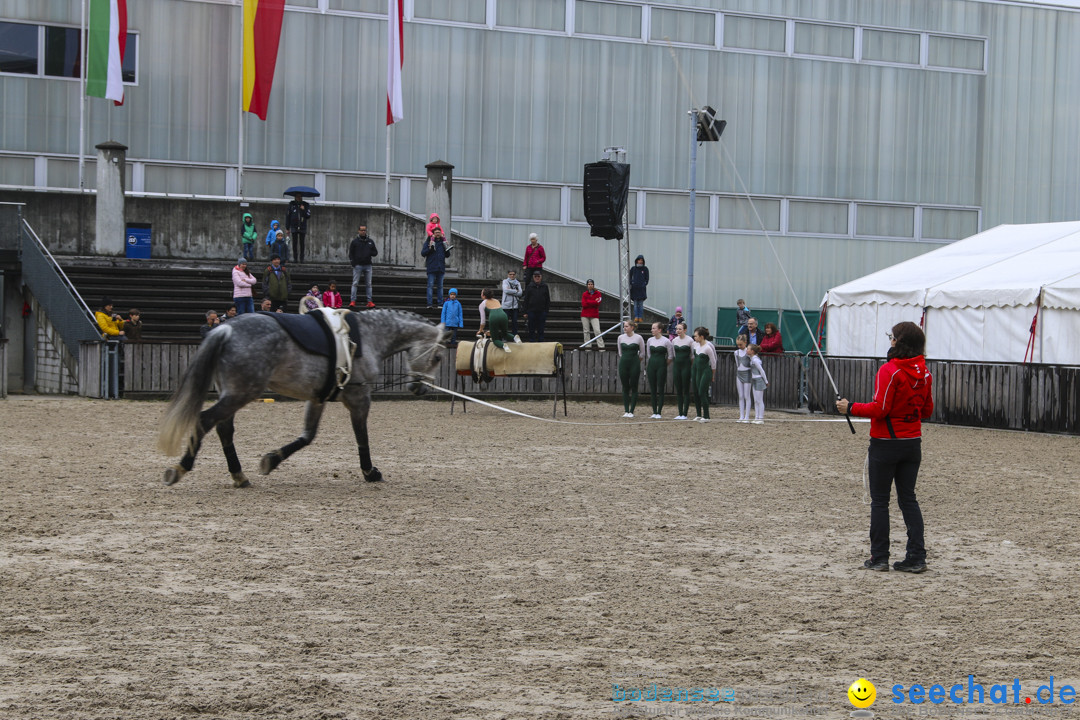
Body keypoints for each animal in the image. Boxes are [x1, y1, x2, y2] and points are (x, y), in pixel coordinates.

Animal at [157, 310, 444, 490]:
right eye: (439, 357)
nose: (420, 388)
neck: (368, 335)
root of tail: (226, 329)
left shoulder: (317, 398)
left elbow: (307, 436)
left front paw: (271, 460)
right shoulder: (359, 398)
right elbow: (362, 437)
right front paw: (370, 472)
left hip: (233, 394)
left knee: (224, 429)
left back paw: (239, 476)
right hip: (241, 394)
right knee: (205, 420)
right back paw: (181, 468)